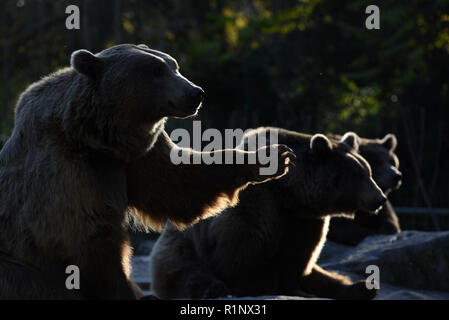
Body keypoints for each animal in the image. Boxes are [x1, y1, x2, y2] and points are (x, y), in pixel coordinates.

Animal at [0, 45, 292, 300]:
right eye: (156, 70)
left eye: (174, 65)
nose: (195, 92)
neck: (96, 138)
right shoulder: (67, 172)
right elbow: (88, 236)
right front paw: (128, 292)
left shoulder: (136, 158)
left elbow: (177, 183)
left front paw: (273, 156)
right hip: (19, 265)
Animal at [148, 127, 384, 300]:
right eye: (357, 174)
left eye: (368, 171)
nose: (380, 198)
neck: (289, 194)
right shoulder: (258, 203)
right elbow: (243, 249)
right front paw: (254, 286)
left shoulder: (305, 220)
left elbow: (299, 257)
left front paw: (295, 288)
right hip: (181, 247)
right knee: (188, 272)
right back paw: (213, 289)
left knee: (323, 276)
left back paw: (363, 287)